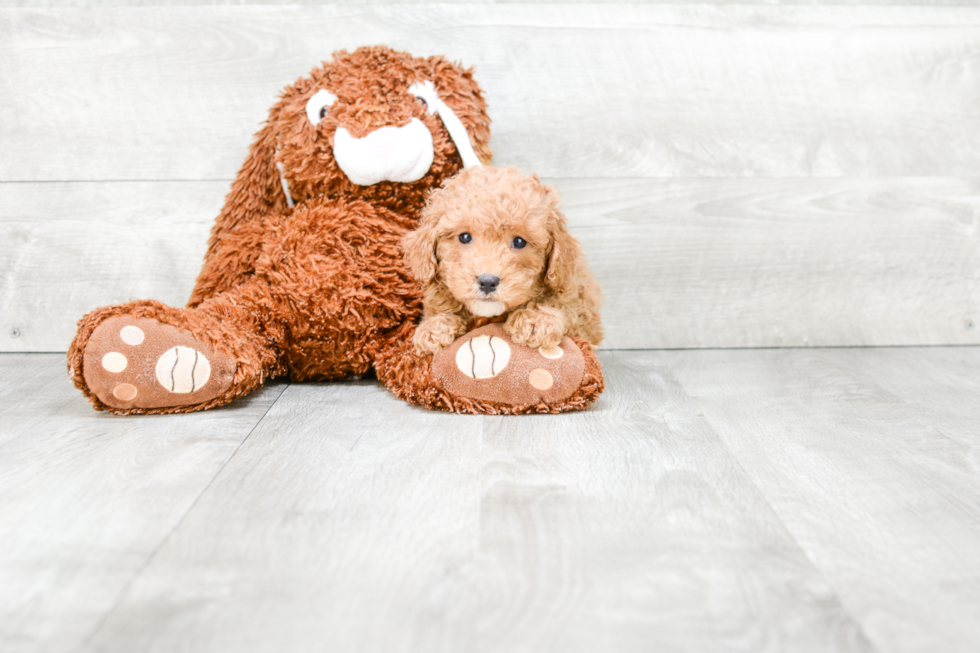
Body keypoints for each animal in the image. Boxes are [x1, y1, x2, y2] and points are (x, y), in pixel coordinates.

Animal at [400, 166, 600, 354]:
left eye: (519, 242)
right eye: (464, 237)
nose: (488, 282)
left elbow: (562, 306)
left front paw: (535, 319)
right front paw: (434, 327)